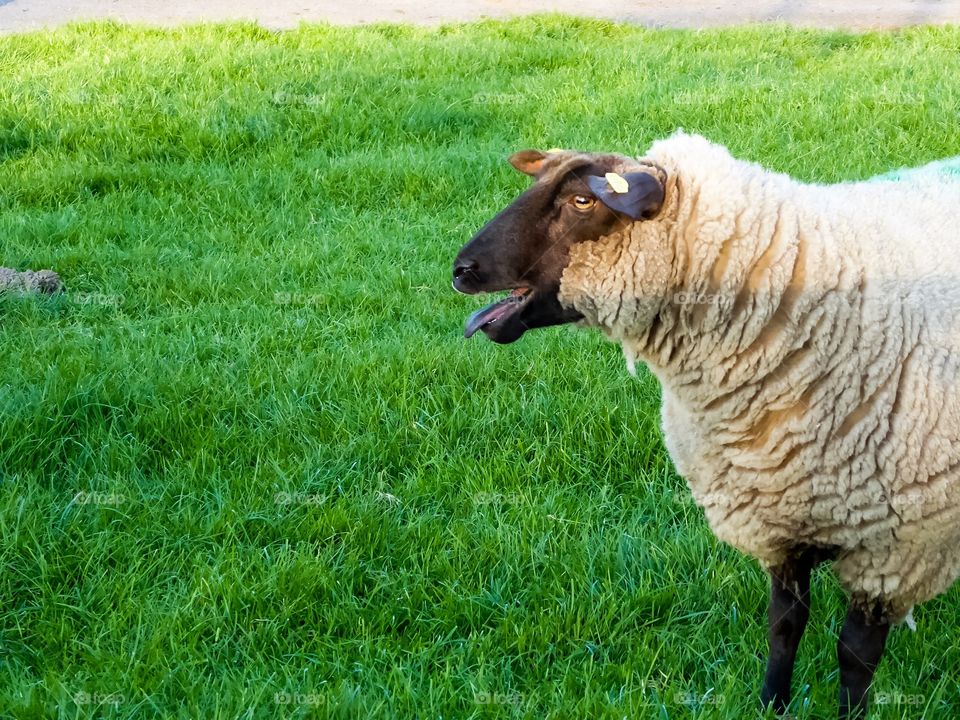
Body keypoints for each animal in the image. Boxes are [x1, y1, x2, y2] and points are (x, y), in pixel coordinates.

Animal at [451, 132, 960, 719]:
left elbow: (855, 656)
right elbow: (784, 626)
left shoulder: (895, 549)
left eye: (583, 201)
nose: (460, 270)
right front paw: (771, 705)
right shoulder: (776, 520)